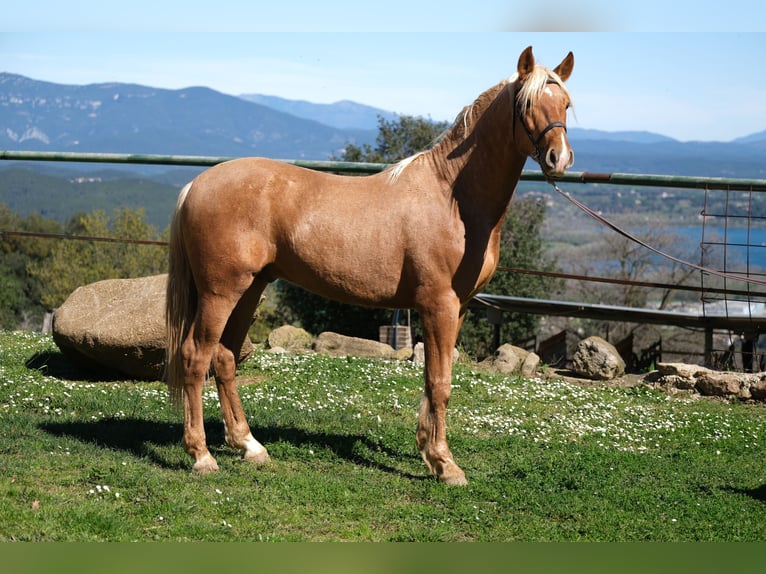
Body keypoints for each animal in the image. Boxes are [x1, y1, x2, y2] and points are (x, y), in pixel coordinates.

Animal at [165, 46, 575, 485]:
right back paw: (202, 455)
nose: (559, 158)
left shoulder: (458, 307)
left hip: (252, 288)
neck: (451, 197)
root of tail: (196, 185)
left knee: (224, 357)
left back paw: (249, 446)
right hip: (221, 291)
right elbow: (440, 382)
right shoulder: (438, 304)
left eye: (566, 104)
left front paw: (428, 452)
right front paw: (446, 464)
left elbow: (433, 379)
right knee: (195, 357)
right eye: (527, 104)